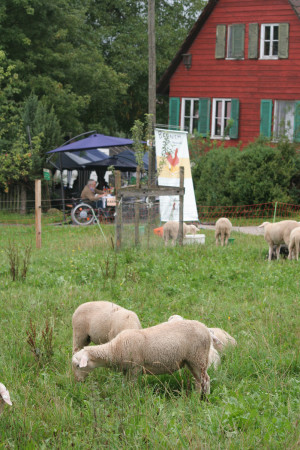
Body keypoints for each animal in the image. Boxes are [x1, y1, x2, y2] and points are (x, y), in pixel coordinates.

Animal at [72, 318, 212, 396]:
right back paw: (196, 396)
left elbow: (132, 385)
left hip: (198, 357)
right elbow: (125, 384)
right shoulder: (126, 369)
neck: (114, 349)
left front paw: (131, 397)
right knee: (199, 381)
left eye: (78, 366)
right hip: (191, 361)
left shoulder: (135, 367)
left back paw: (204, 399)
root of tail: (206, 329)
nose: (77, 381)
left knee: (206, 379)